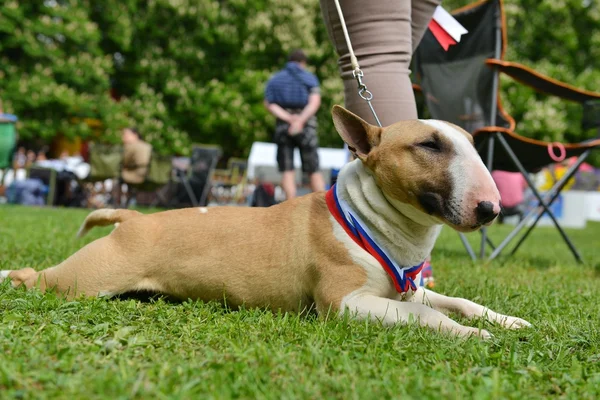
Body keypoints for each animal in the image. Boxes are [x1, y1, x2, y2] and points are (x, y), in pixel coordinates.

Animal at [2, 105, 532, 338]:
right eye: (428, 145)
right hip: (84, 280)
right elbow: (428, 315)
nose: (491, 209)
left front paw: (506, 320)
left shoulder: (405, 288)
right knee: (35, 277)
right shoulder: (344, 303)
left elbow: (458, 301)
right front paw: (472, 335)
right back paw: (8, 274)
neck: (371, 222)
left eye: (470, 144)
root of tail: (134, 216)